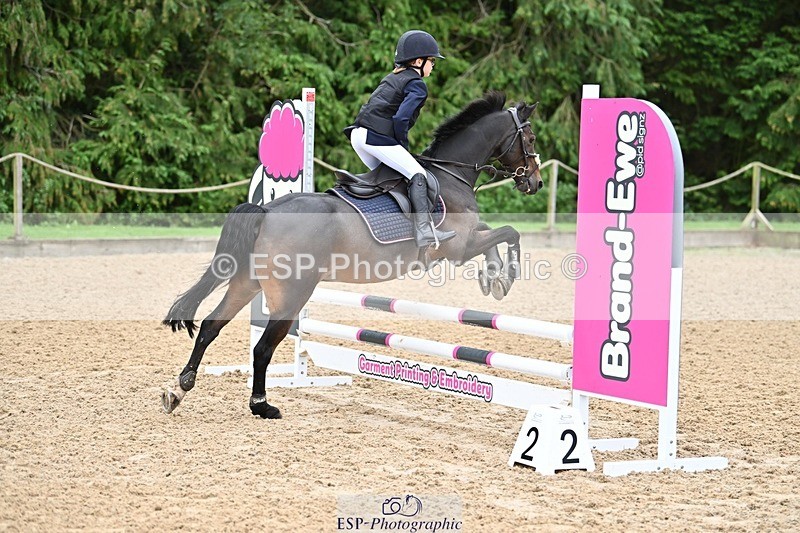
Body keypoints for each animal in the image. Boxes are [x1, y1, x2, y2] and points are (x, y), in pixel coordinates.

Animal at [162, 90, 543, 419]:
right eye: (531, 139)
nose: (535, 183)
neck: (451, 173)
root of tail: (267, 210)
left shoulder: (467, 240)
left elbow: (494, 235)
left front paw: (493, 277)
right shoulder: (459, 247)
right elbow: (509, 232)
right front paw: (504, 276)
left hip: (248, 283)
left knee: (211, 326)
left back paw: (178, 390)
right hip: (291, 296)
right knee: (263, 348)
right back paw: (262, 405)